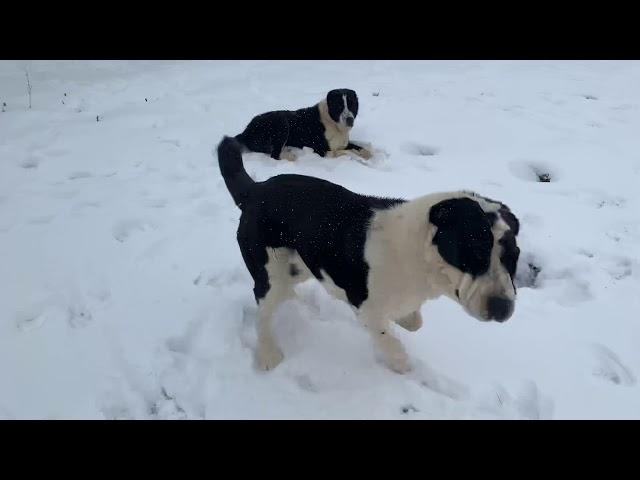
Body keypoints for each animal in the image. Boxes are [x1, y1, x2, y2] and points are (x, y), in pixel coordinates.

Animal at [219, 136, 520, 376]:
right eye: (474, 252)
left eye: (513, 257)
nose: (503, 308)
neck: (418, 258)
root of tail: (255, 190)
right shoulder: (367, 308)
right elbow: (390, 341)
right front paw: (401, 364)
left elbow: (415, 322)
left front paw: (406, 319)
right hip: (269, 272)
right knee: (264, 308)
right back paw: (268, 354)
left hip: (298, 265)